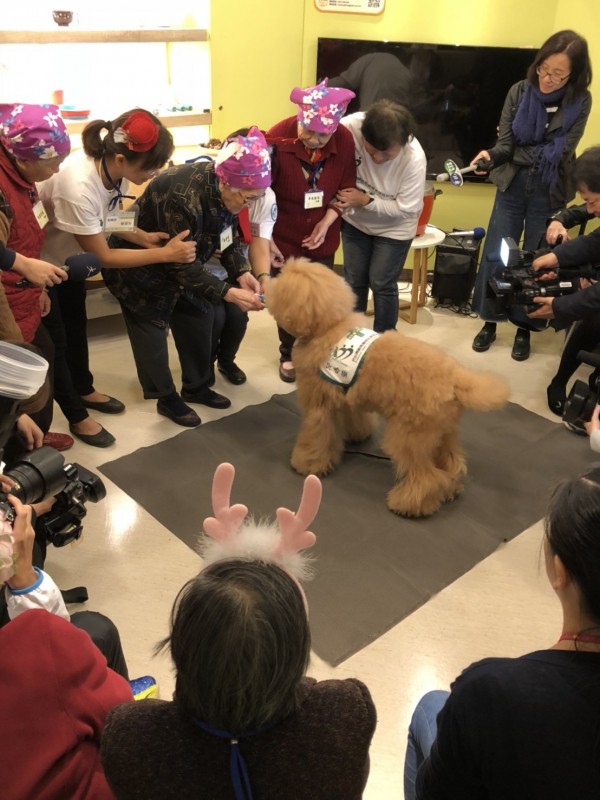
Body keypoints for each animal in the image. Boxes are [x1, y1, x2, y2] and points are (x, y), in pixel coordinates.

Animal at [268, 258, 510, 520]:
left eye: (281, 281)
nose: (267, 284)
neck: (328, 327)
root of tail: (457, 378)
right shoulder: (348, 398)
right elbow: (355, 419)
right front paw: (357, 436)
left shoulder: (319, 408)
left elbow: (315, 438)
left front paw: (307, 464)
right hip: (444, 433)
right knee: (452, 464)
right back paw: (451, 490)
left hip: (410, 436)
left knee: (427, 477)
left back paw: (408, 505)